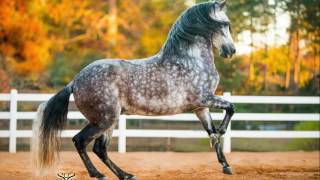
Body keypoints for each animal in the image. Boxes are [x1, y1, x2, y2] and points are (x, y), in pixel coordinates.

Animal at [32, 0, 236, 179]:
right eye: (225, 24)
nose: (231, 51)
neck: (189, 61)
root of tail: (75, 81)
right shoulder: (203, 98)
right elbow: (230, 108)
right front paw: (222, 131)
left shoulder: (201, 108)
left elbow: (211, 132)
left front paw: (226, 165)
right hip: (104, 120)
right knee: (80, 141)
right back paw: (98, 174)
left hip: (108, 121)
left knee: (99, 149)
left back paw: (125, 175)